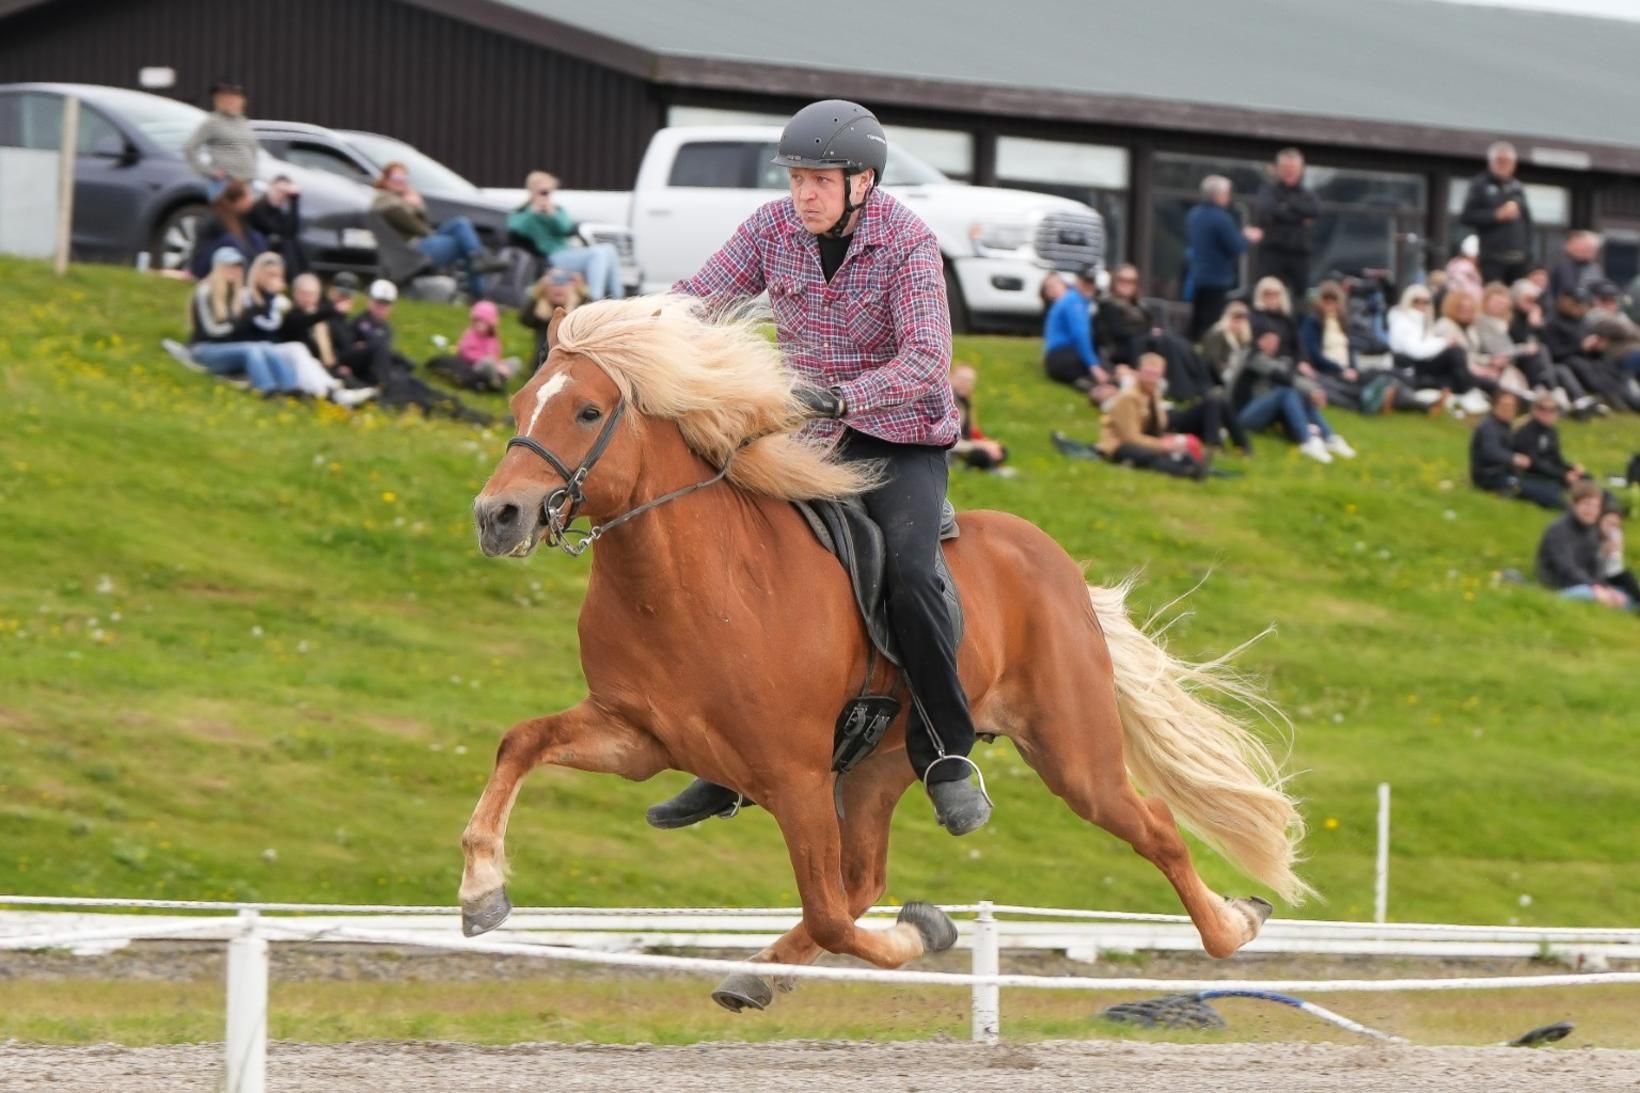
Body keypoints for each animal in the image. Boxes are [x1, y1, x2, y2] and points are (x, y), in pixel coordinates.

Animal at [459, 295, 1305, 1004]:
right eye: (519, 404)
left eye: (588, 409)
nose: (498, 516)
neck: (689, 585)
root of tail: (1056, 564)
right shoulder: (637, 736)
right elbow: (519, 742)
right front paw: (481, 890)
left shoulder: (795, 777)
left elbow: (831, 912)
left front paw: (923, 931)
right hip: (878, 767)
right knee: (863, 880)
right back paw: (759, 972)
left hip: (1071, 753)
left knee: (1154, 826)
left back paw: (1236, 924)